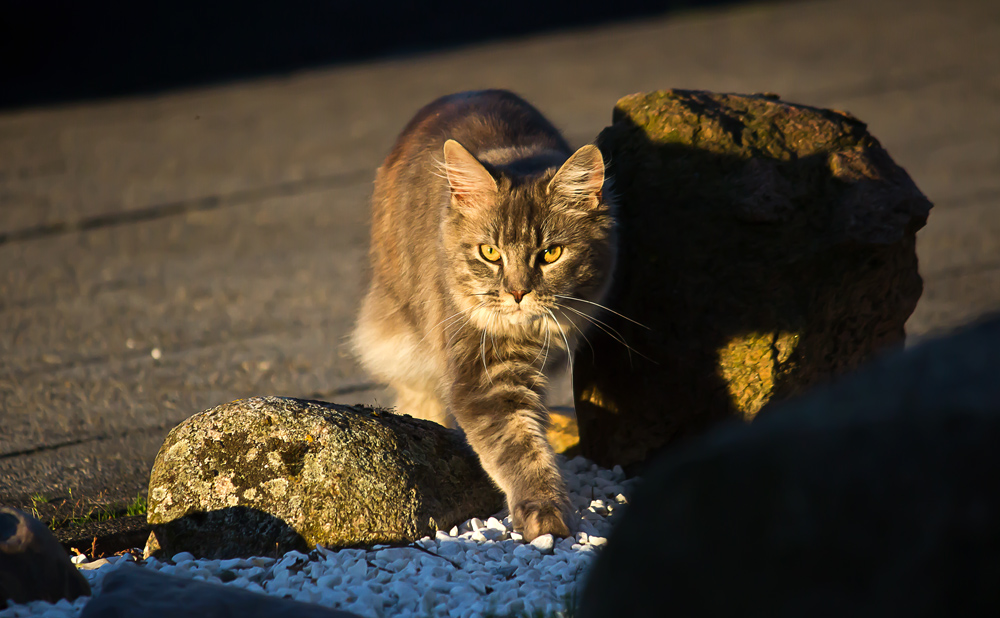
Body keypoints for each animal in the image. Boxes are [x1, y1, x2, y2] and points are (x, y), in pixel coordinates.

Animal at [352, 88, 616, 540]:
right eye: (490, 253)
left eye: (551, 253)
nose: (517, 292)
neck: (530, 333)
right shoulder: (484, 374)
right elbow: (520, 448)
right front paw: (547, 516)